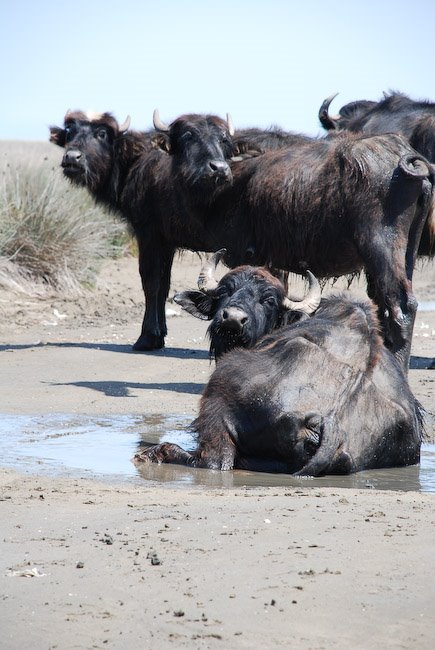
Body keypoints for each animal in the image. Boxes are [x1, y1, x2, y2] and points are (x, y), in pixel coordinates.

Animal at [135, 264, 422, 476]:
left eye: (268, 300)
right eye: (225, 291)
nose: (232, 319)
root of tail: (332, 424)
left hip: (219, 395)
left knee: (215, 461)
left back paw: (153, 453)